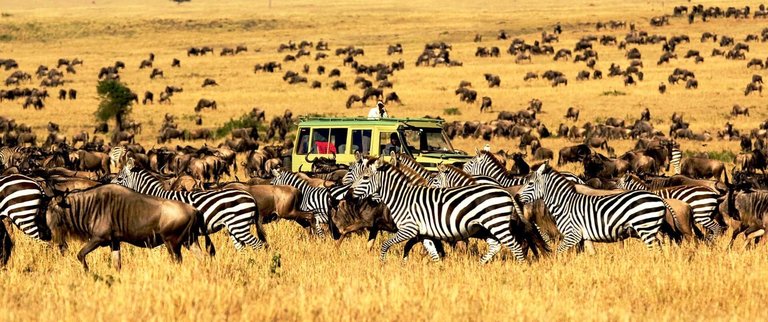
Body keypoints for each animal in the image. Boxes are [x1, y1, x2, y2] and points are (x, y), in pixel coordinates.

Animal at [111, 160, 268, 250]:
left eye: (119, 178)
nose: (108, 186)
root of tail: (250, 197)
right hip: (234, 226)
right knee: (242, 248)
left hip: (239, 224)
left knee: (258, 245)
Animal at [352, 157, 544, 262]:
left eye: (366, 177)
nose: (350, 192)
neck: (402, 197)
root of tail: (505, 192)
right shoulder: (424, 233)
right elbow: (433, 253)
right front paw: (439, 270)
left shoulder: (409, 229)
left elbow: (385, 245)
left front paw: (382, 264)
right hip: (489, 226)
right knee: (496, 245)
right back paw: (481, 265)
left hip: (496, 223)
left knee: (516, 246)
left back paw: (521, 268)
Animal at [516, 164, 672, 254]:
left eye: (530, 183)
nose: (516, 196)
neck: (565, 204)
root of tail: (659, 199)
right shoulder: (585, 236)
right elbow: (591, 253)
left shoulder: (572, 234)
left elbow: (559, 252)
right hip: (652, 228)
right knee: (661, 245)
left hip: (645, 227)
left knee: (655, 248)